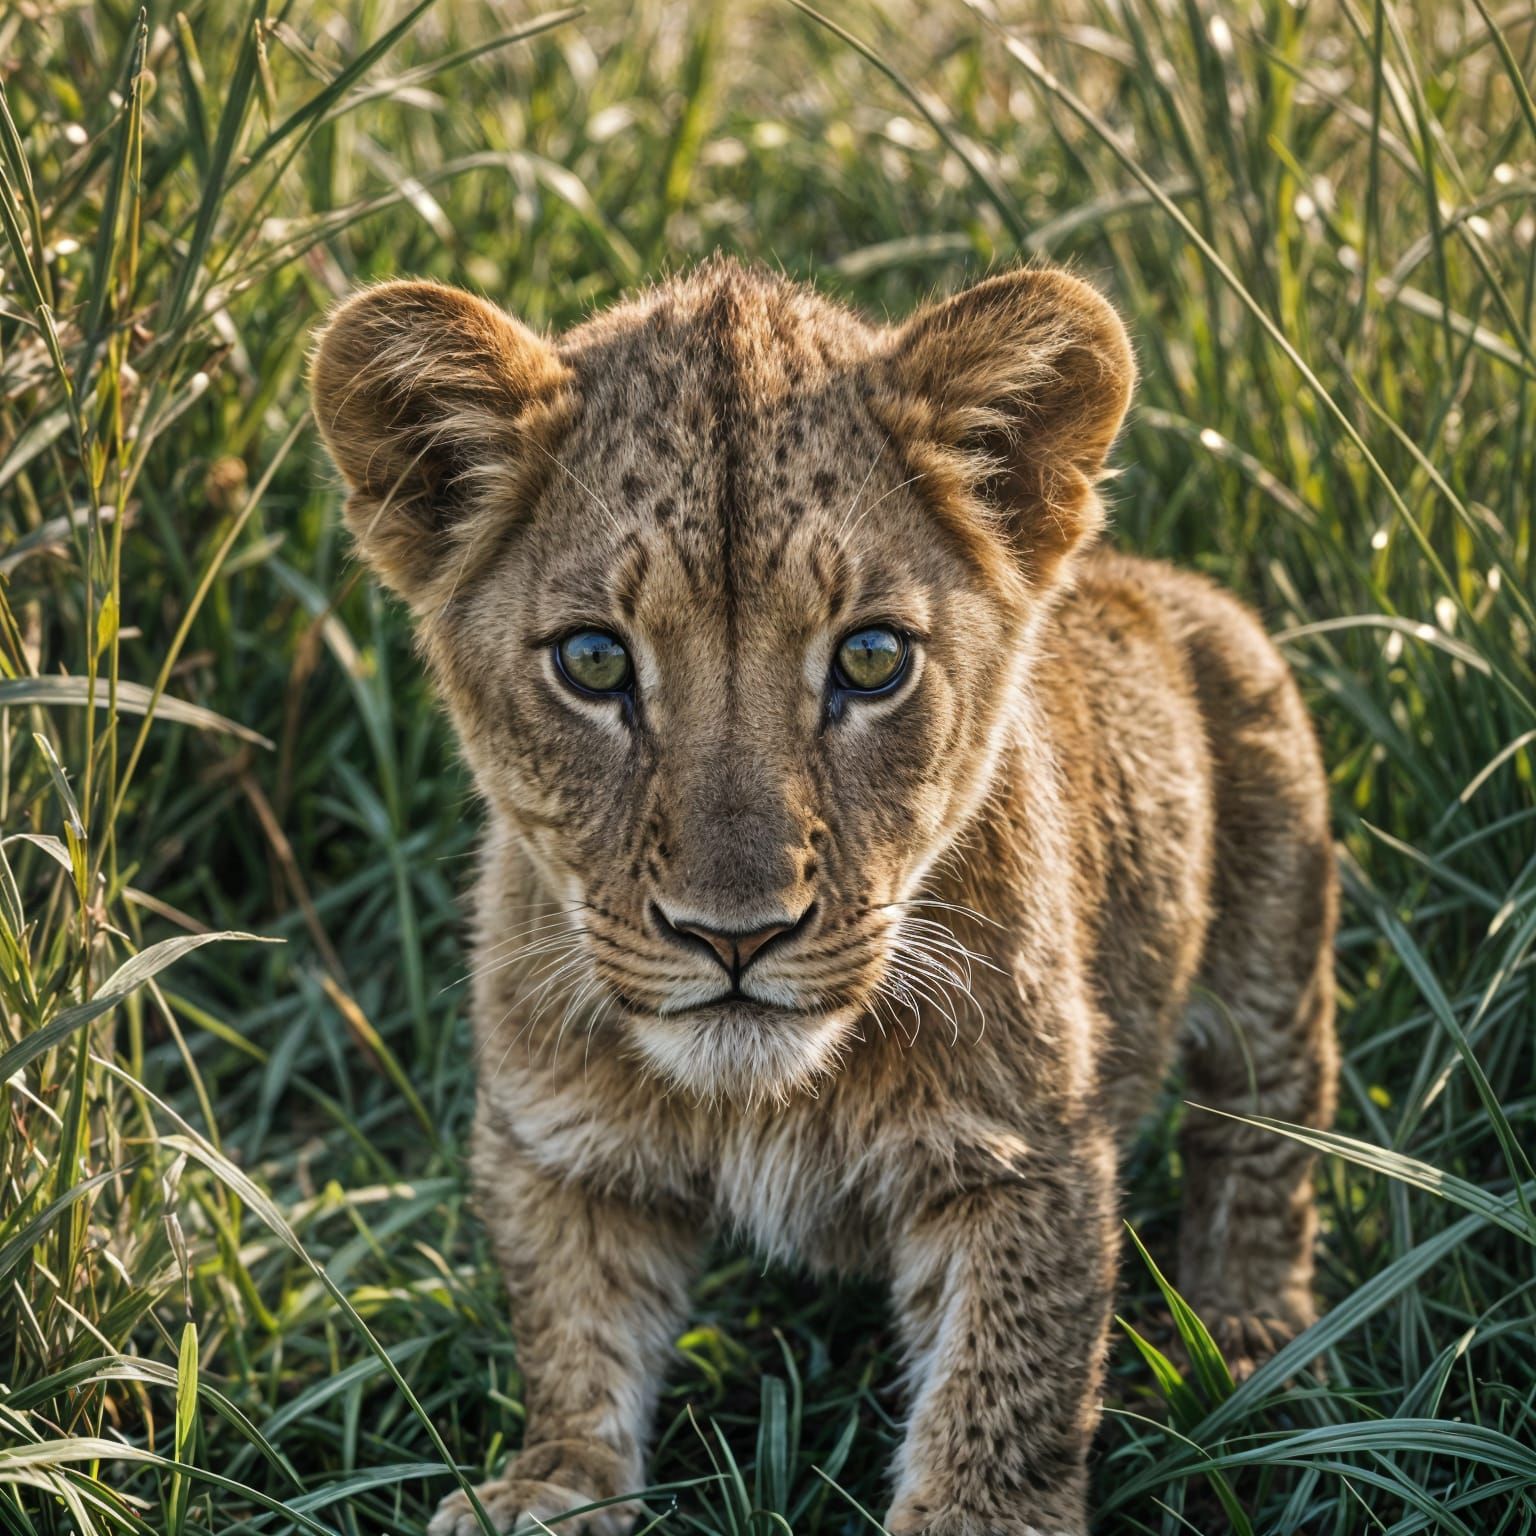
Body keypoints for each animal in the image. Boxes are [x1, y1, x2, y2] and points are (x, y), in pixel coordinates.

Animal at [309, 257, 1337, 1536]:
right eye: (595, 662)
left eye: (871, 659)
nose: (734, 937)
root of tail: (1159, 581)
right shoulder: (557, 1143)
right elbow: (570, 1325)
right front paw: (550, 1489)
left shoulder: (1020, 1155)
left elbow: (1010, 1379)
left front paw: (977, 1517)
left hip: (1272, 944)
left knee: (1265, 1137)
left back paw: (1249, 1339)